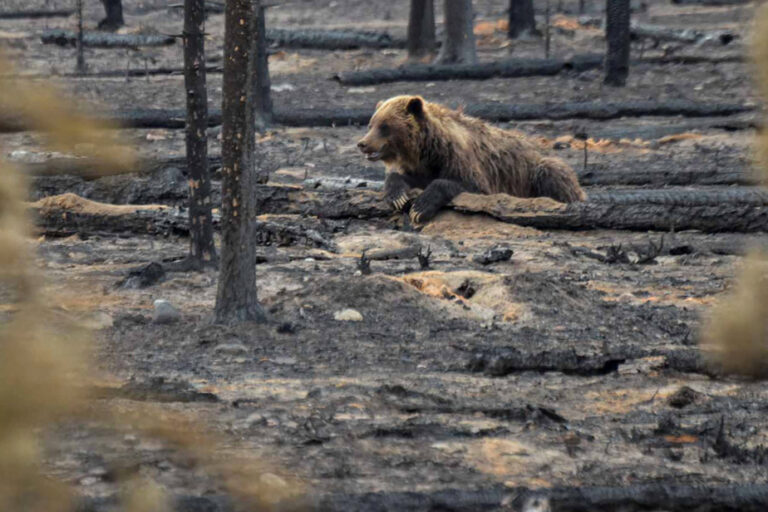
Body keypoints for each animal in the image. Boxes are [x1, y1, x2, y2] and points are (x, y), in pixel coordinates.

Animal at [356, 96, 584, 224]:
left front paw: (420, 208)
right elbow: (402, 178)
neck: (425, 149)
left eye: (385, 126)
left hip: (536, 170)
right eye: (371, 124)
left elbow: (467, 185)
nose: (362, 143)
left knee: (552, 173)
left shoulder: (458, 160)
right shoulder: (419, 167)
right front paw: (398, 196)